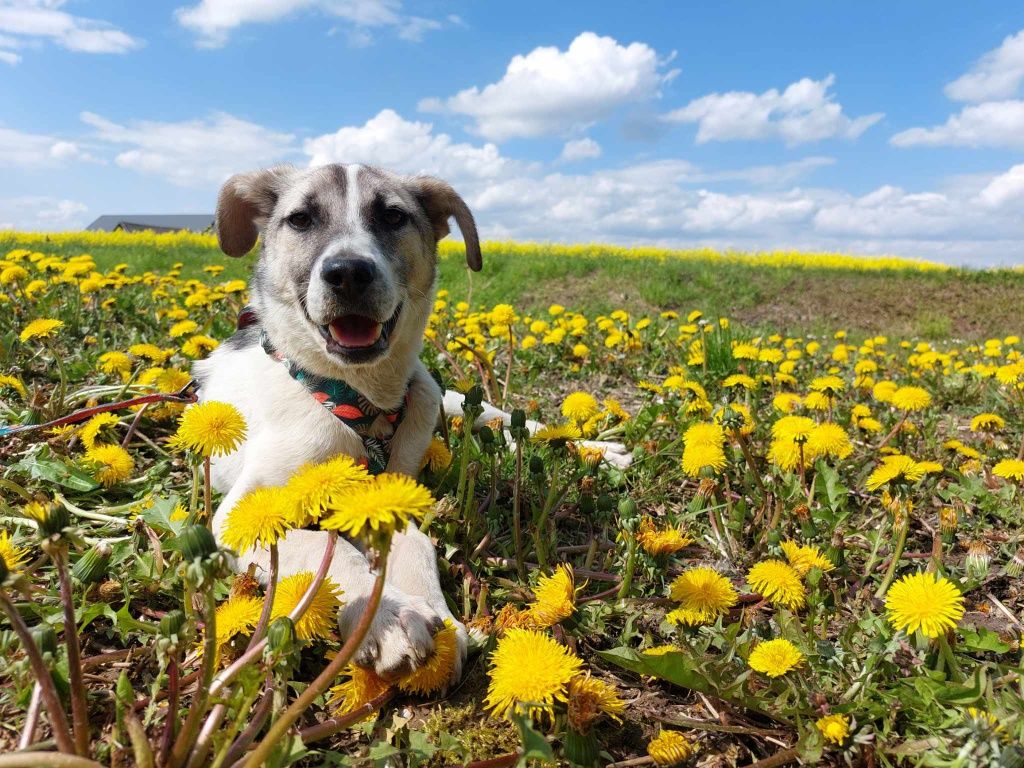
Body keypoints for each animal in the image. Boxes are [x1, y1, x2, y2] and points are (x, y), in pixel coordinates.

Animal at [193, 160, 630, 684]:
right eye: (300, 219)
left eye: (393, 216)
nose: (348, 273)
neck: (360, 400)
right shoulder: (242, 515)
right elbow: (325, 548)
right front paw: (385, 614)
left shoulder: (397, 489)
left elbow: (416, 539)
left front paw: (425, 614)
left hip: (439, 395)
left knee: (502, 419)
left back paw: (595, 450)